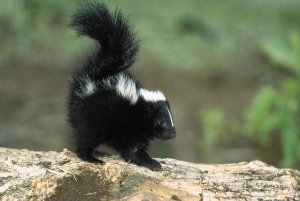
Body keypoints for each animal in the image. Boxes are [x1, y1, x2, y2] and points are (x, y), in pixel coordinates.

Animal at [68, 2, 176, 170]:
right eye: (160, 122)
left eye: (171, 119)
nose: (172, 133)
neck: (139, 104)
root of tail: (93, 78)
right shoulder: (130, 125)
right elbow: (133, 148)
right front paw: (151, 162)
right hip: (93, 115)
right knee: (87, 136)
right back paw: (91, 157)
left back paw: (98, 152)